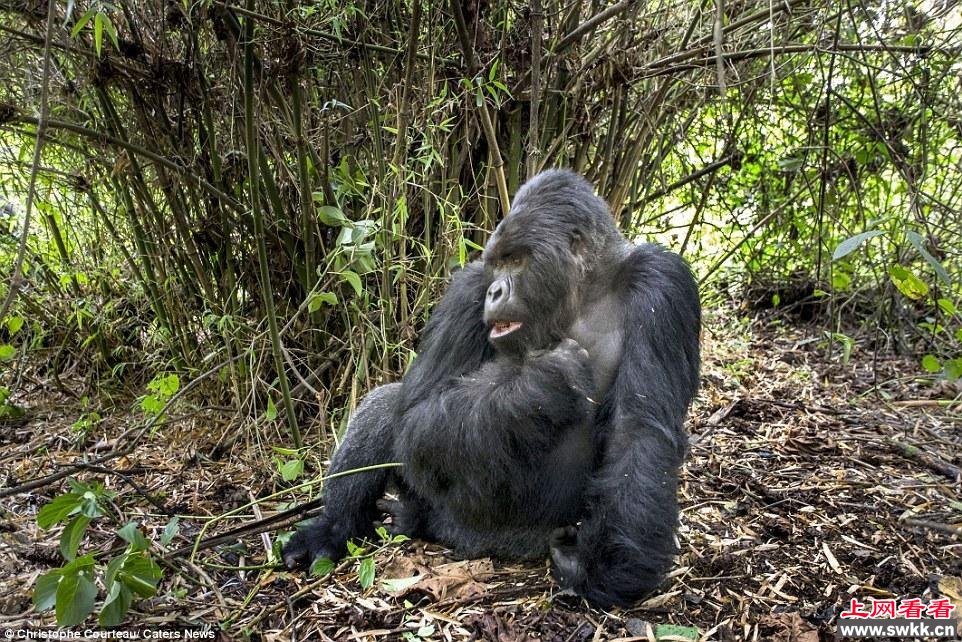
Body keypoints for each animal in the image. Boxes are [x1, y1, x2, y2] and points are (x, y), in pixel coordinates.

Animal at [282, 166, 700, 604]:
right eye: (496, 265)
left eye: (516, 260)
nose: (496, 290)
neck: (581, 294)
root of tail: (475, 543)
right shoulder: (468, 287)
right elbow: (416, 414)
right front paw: (543, 382)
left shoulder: (662, 284)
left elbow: (639, 431)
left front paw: (606, 569)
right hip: (447, 512)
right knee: (390, 408)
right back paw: (335, 527)